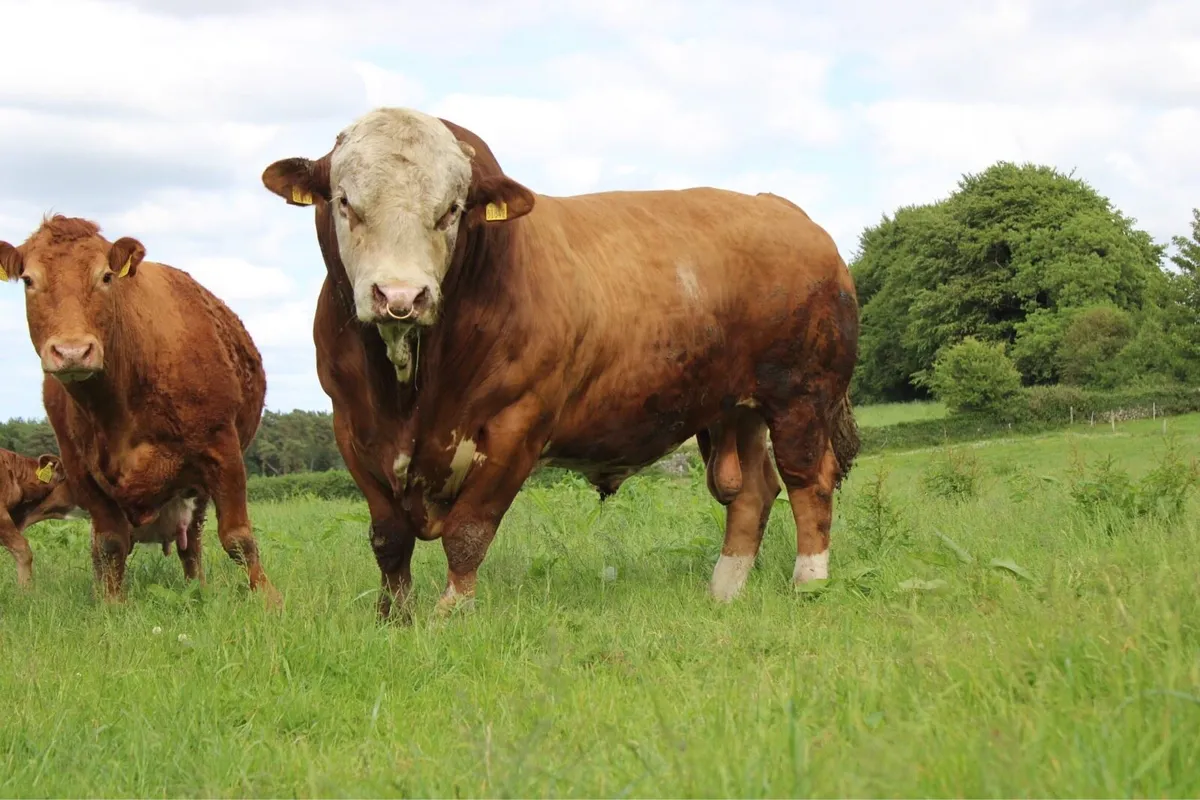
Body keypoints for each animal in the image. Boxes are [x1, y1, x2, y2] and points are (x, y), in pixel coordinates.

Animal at [260, 107, 859, 619]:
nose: (401, 296)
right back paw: (723, 592)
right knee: (752, 491)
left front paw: (450, 615)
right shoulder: (352, 426)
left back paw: (809, 584)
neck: (409, 392)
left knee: (809, 480)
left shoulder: (516, 423)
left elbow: (469, 531)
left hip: (801, 395)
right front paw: (394, 618)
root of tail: (786, 211)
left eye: (451, 210)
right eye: (344, 201)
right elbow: (387, 537)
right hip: (736, 407)